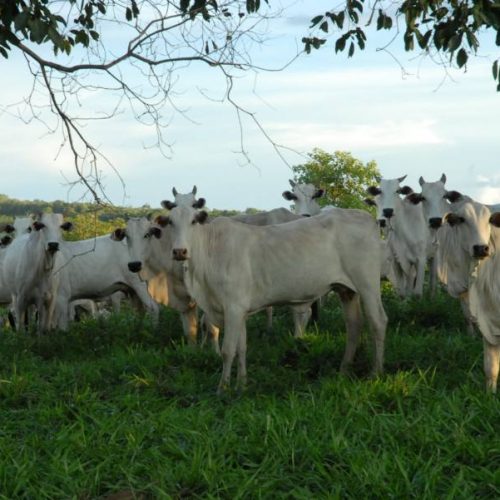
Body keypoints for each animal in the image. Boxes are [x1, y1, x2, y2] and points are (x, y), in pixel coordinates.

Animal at [166, 203, 388, 394]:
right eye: (170, 222)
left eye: (194, 221)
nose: (179, 251)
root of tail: (367, 217)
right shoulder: (240, 310)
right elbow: (241, 347)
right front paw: (241, 385)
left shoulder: (233, 308)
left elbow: (228, 350)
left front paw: (222, 389)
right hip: (346, 290)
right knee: (354, 325)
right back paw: (344, 370)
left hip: (367, 284)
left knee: (378, 321)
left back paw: (375, 372)